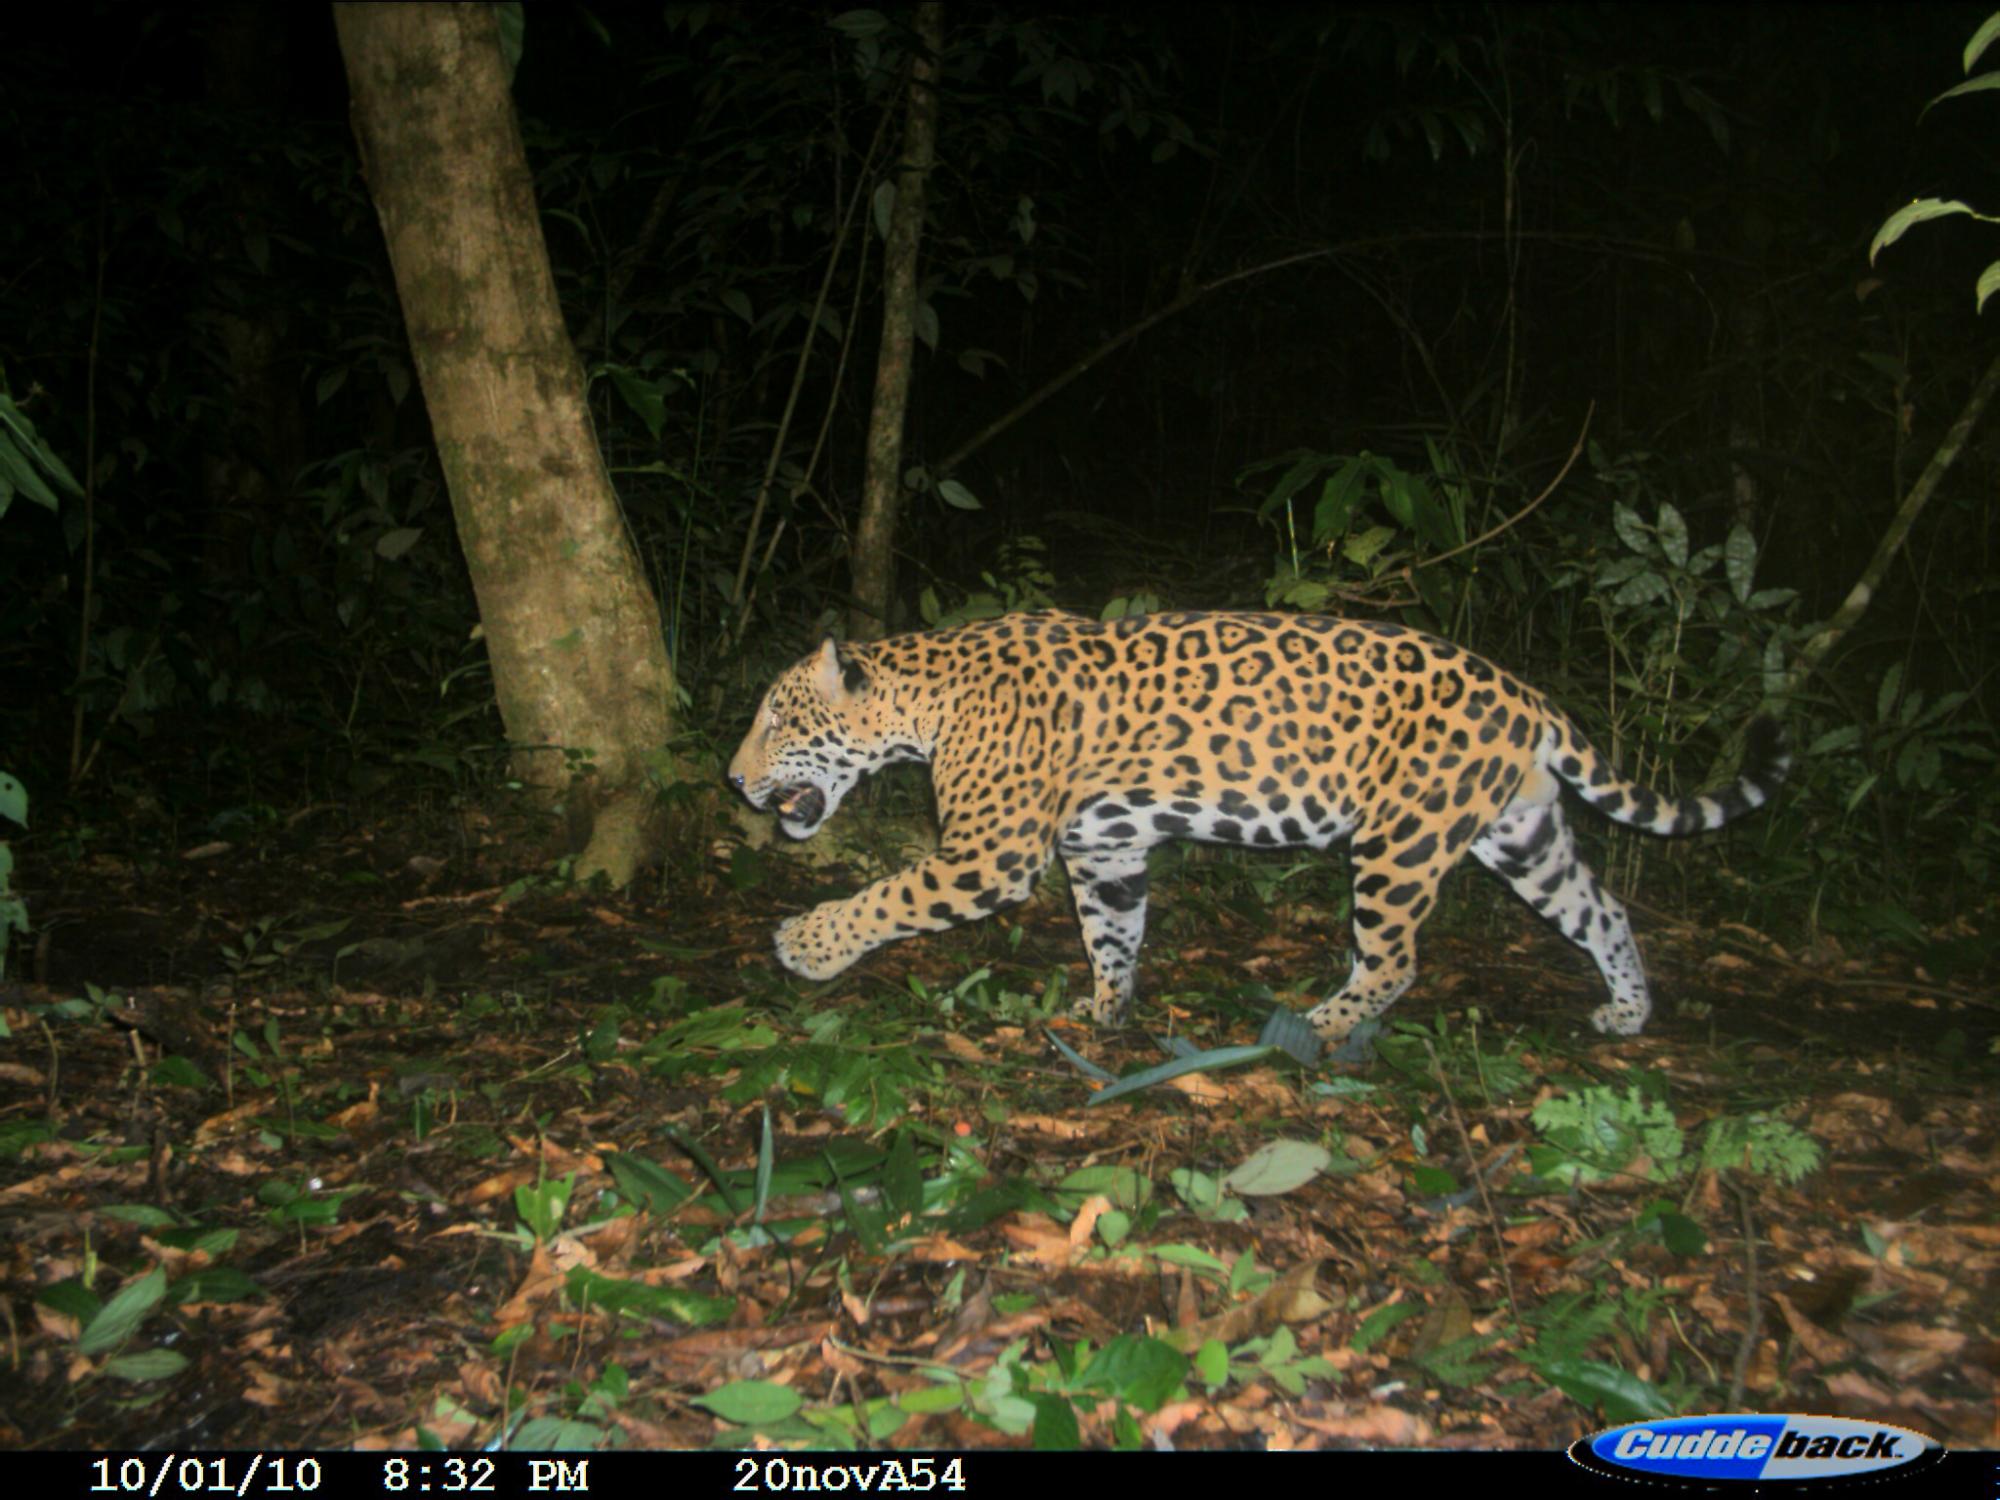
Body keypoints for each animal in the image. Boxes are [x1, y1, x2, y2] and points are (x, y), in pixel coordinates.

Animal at [727, 610, 1789, 1046]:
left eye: (776, 716)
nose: (733, 780)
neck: (928, 699)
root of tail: (1525, 693)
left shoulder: (990, 853)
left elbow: (887, 896)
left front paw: (807, 944)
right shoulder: (1104, 846)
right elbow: (1113, 931)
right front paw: (1108, 1012)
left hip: (1398, 845)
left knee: (1395, 959)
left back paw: (1319, 1025)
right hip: (1520, 836)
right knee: (1601, 910)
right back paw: (1628, 1011)